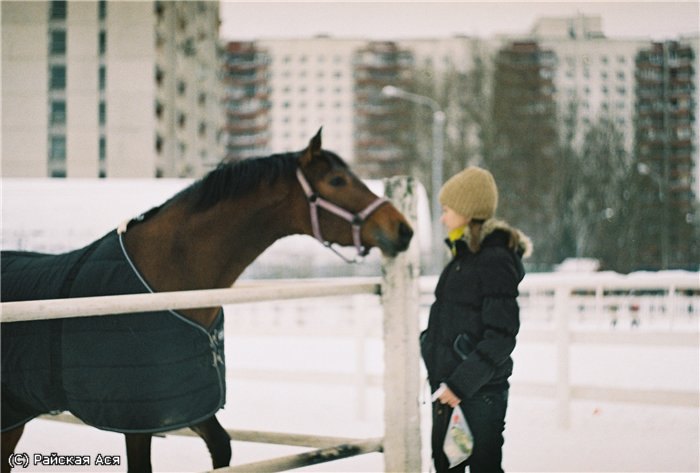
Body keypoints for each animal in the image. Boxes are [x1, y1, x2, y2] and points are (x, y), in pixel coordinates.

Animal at [0, 127, 412, 470]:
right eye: (337, 180)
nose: (403, 229)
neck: (167, 276)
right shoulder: (137, 416)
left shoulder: (190, 403)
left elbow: (222, 445)